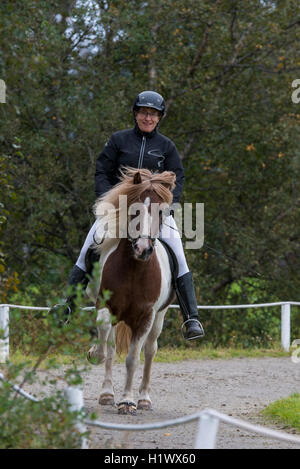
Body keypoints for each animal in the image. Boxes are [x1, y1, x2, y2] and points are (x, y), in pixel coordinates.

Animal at [86, 167, 176, 414]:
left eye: (162, 212)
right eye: (134, 208)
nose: (142, 249)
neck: (135, 269)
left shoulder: (146, 317)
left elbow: (133, 358)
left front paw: (127, 401)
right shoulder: (105, 306)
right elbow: (106, 345)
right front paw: (94, 354)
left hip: (159, 317)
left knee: (150, 350)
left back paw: (144, 398)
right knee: (111, 346)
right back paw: (107, 393)